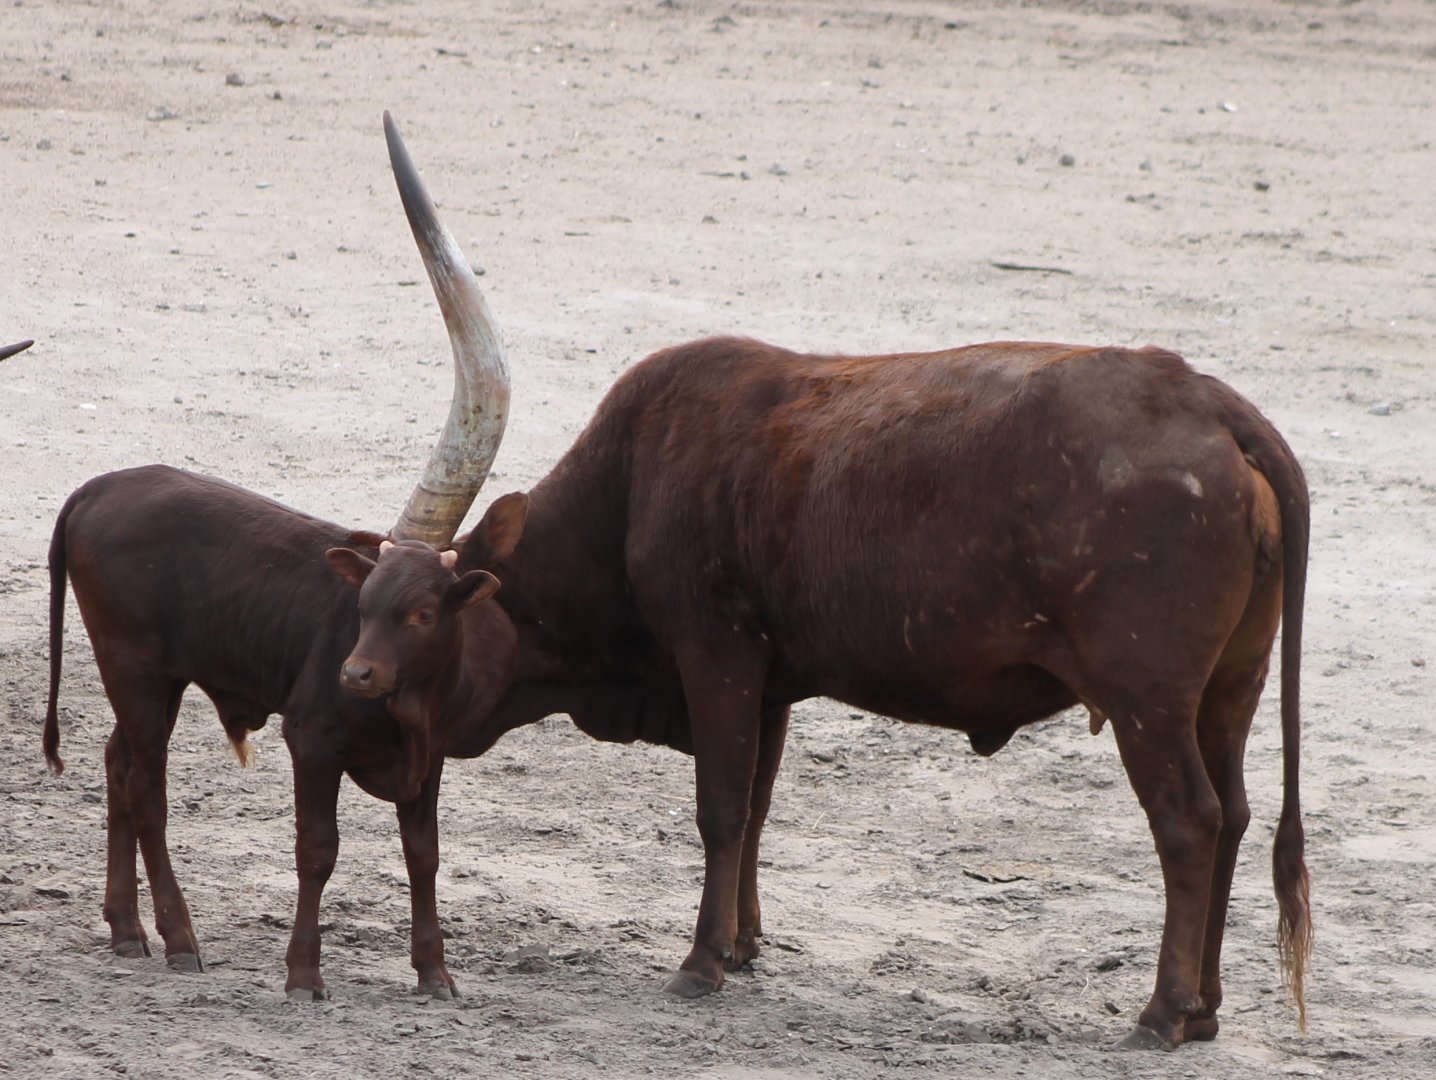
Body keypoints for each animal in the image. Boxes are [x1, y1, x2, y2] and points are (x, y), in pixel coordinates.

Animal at [42, 114, 515, 1000]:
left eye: (423, 611)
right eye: (359, 607)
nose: (355, 672)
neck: (401, 705)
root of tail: (102, 484)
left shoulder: (430, 761)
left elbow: (424, 856)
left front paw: (435, 972)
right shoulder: (312, 741)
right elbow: (316, 851)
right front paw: (303, 973)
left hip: (149, 678)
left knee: (117, 763)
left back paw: (127, 929)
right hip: (135, 668)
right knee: (146, 787)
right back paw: (180, 937)